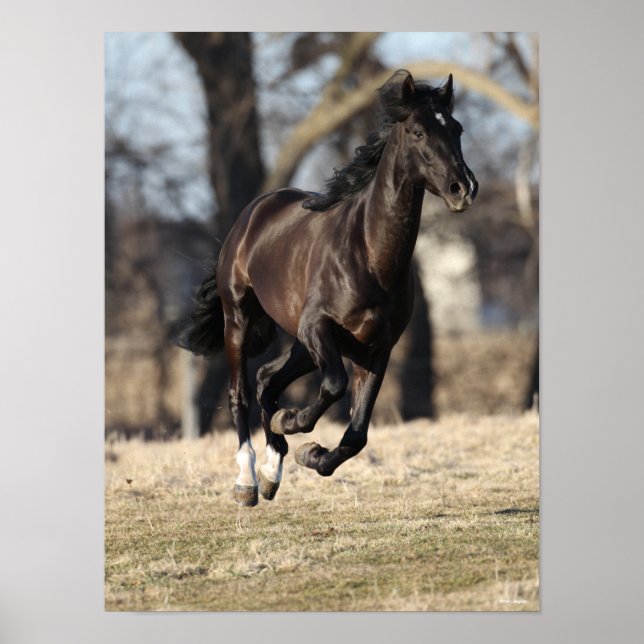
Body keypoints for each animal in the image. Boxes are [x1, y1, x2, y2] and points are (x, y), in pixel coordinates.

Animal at [181, 69, 478, 506]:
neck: (368, 254)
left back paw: (272, 472)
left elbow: (357, 433)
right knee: (241, 394)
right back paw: (248, 482)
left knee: (267, 378)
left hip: (304, 347)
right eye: (419, 132)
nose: (464, 188)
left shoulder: (376, 349)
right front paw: (292, 422)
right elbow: (334, 387)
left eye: (456, 129)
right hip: (241, 319)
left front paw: (311, 453)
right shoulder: (318, 328)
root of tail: (254, 212)